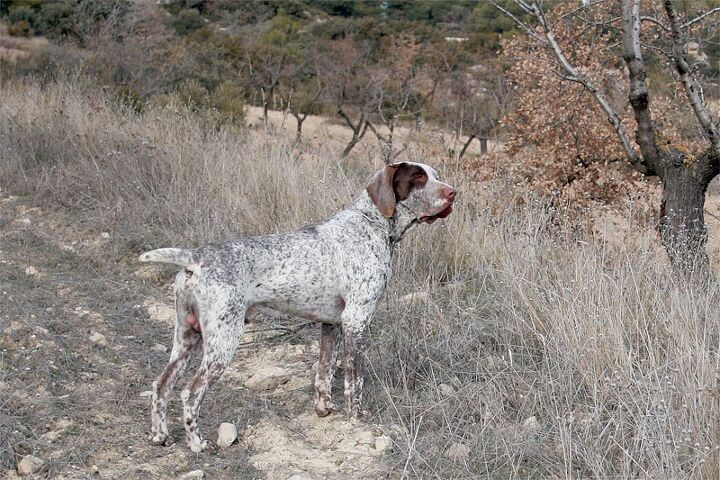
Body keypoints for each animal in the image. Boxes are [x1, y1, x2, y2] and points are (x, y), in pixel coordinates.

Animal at [140, 163, 456, 452]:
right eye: (418, 178)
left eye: (435, 175)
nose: (453, 193)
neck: (372, 224)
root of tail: (195, 258)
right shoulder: (356, 321)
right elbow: (355, 381)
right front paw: (357, 419)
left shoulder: (332, 324)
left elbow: (324, 372)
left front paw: (324, 410)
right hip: (222, 341)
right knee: (190, 393)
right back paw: (197, 443)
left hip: (186, 337)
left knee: (160, 385)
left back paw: (160, 436)